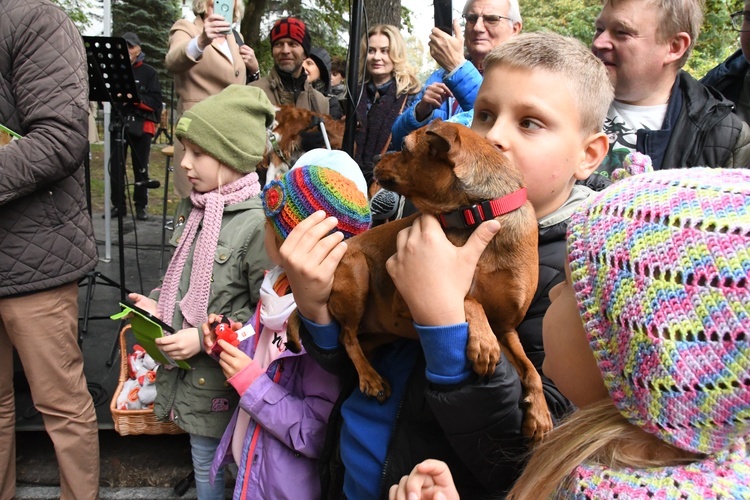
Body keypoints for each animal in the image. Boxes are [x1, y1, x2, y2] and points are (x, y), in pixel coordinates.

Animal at [288, 119, 552, 440]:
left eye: (403, 147)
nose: (375, 157)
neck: (480, 215)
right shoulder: (408, 297)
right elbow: (467, 298)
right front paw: (484, 341)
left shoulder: (507, 327)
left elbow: (530, 369)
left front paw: (539, 413)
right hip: (357, 270)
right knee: (346, 337)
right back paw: (370, 378)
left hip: (384, 332)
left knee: (356, 341)